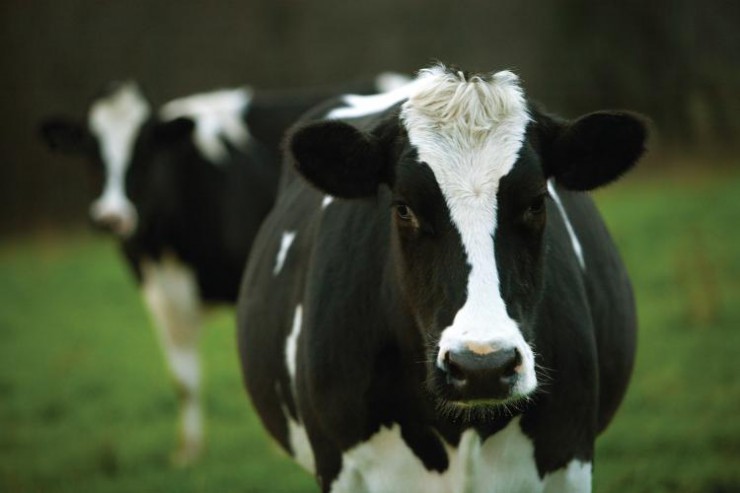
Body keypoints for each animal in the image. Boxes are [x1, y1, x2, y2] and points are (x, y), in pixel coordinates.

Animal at [38, 73, 407, 466]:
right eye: (91, 150)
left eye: (144, 149)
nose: (112, 216)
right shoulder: (159, 296)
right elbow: (184, 381)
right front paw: (188, 451)